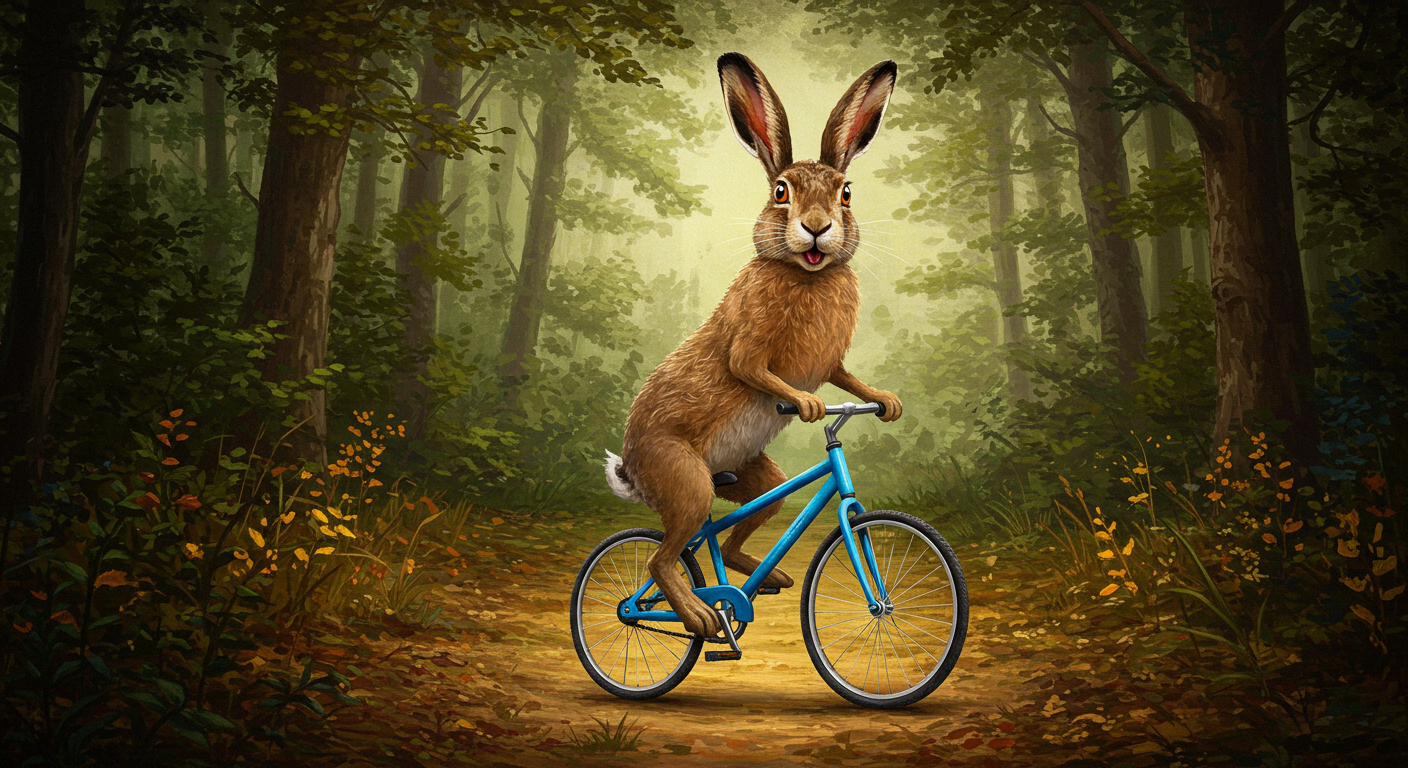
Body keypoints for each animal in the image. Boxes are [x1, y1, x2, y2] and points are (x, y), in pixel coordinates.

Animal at [603, 52, 902, 639]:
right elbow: (749, 367)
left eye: (846, 192)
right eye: (781, 192)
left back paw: (763, 577)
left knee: (742, 523)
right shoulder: (750, 343)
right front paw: (808, 405)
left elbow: (847, 377)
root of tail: (633, 473)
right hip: (687, 482)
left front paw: (886, 402)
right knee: (663, 560)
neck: (807, 273)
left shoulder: (832, 364)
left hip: (756, 476)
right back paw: (699, 615)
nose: (817, 227)